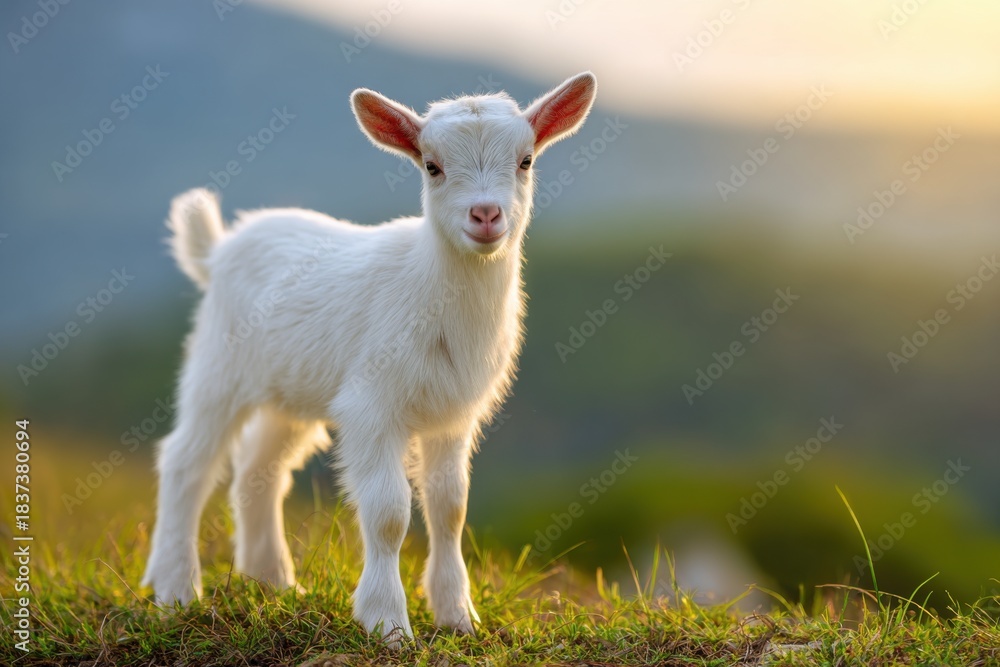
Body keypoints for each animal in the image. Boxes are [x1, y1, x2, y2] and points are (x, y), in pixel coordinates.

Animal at [142, 72, 597, 641]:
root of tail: (218, 248)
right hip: (218, 366)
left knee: (259, 469)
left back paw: (273, 583)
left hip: (290, 388)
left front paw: (458, 616)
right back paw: (175, 590)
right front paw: (388, 623)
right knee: (186, 462)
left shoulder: (454, 415)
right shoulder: (371, 405)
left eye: (526, 160)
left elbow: (450, 508)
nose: (486, 214)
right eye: (431, 166)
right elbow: (388, 513)